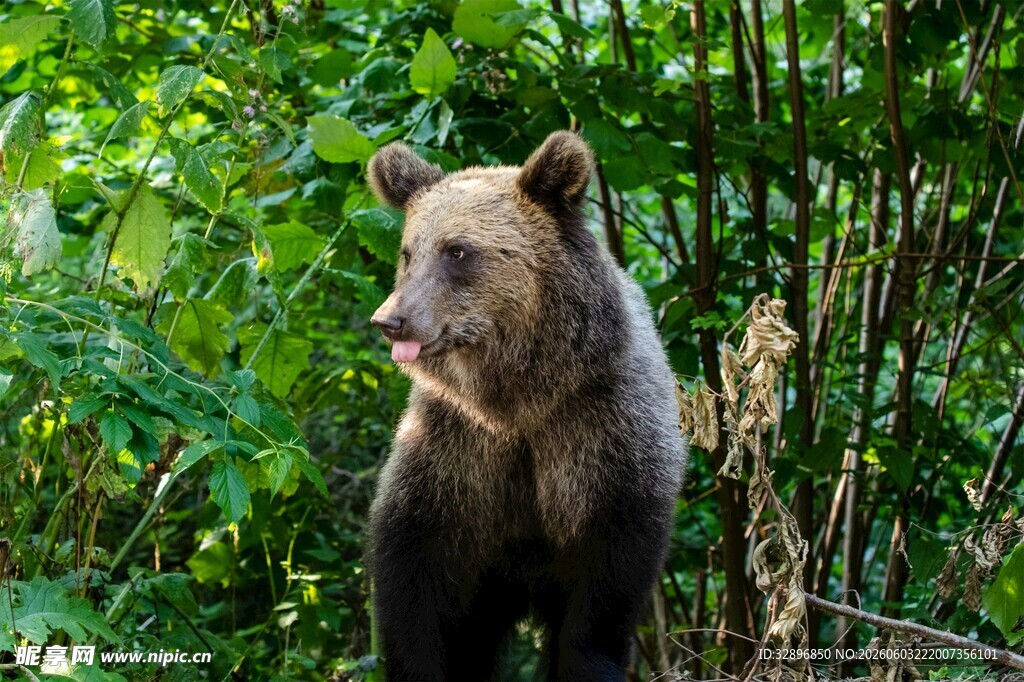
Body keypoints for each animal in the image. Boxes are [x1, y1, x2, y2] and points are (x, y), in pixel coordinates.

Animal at [366, 131, 687, 681]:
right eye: (408, 252)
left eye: (457, 250)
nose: (391, 319)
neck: (517, 398)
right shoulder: (454, 450)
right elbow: (415, 576)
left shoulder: (602, 435)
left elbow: (602, 591)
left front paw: (588, 663)